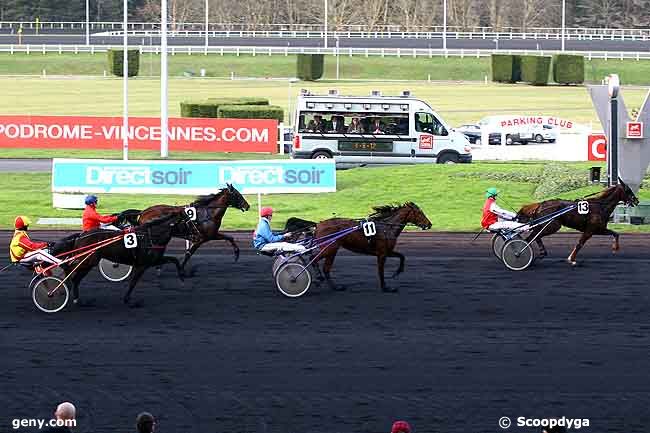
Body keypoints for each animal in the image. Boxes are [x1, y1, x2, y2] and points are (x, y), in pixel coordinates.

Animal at [53, 210, 187, 306]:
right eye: (187, 222)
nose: (192, 234)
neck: (151, 236)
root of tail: (80, 236)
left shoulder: (154, 260)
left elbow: (174, 260)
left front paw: (182, 276)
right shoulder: (143, 264)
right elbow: (133, 282)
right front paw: (128, 299)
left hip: (89, 262)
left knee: (74, 276)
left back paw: (75, 298)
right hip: (87, 261)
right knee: (70, 270)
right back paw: (62, 288)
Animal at [288, 202, 430, 290]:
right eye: (419, 213)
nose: (429, 224)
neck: (386, 228)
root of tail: (318, 224)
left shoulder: (387, 251)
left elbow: (402, 256)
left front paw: (397, 272)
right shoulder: (382, 253)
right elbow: (381, 271)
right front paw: (386, 287)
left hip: (331, 250)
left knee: (325, 268)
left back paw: (336, 287)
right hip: (329, 248)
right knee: (314, 259)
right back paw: (316, 278)